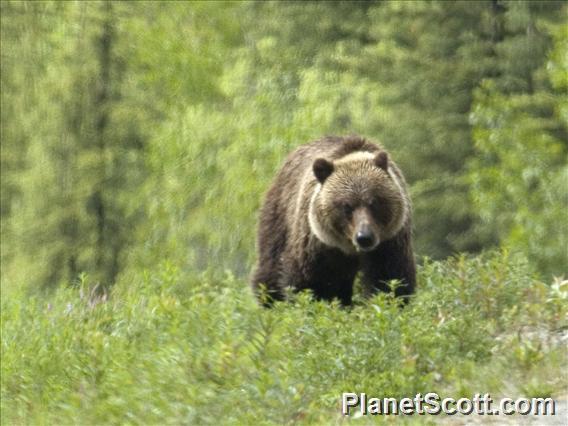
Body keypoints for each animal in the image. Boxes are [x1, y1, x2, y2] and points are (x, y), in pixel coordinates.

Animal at [251, 136, 414, 306]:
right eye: (346, 206)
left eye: (374, 202)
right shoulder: (316, 244)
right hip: (279, 216)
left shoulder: (389, 242)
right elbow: (309, 282)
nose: (364, 237)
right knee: (270, 266)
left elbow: (389, 278)